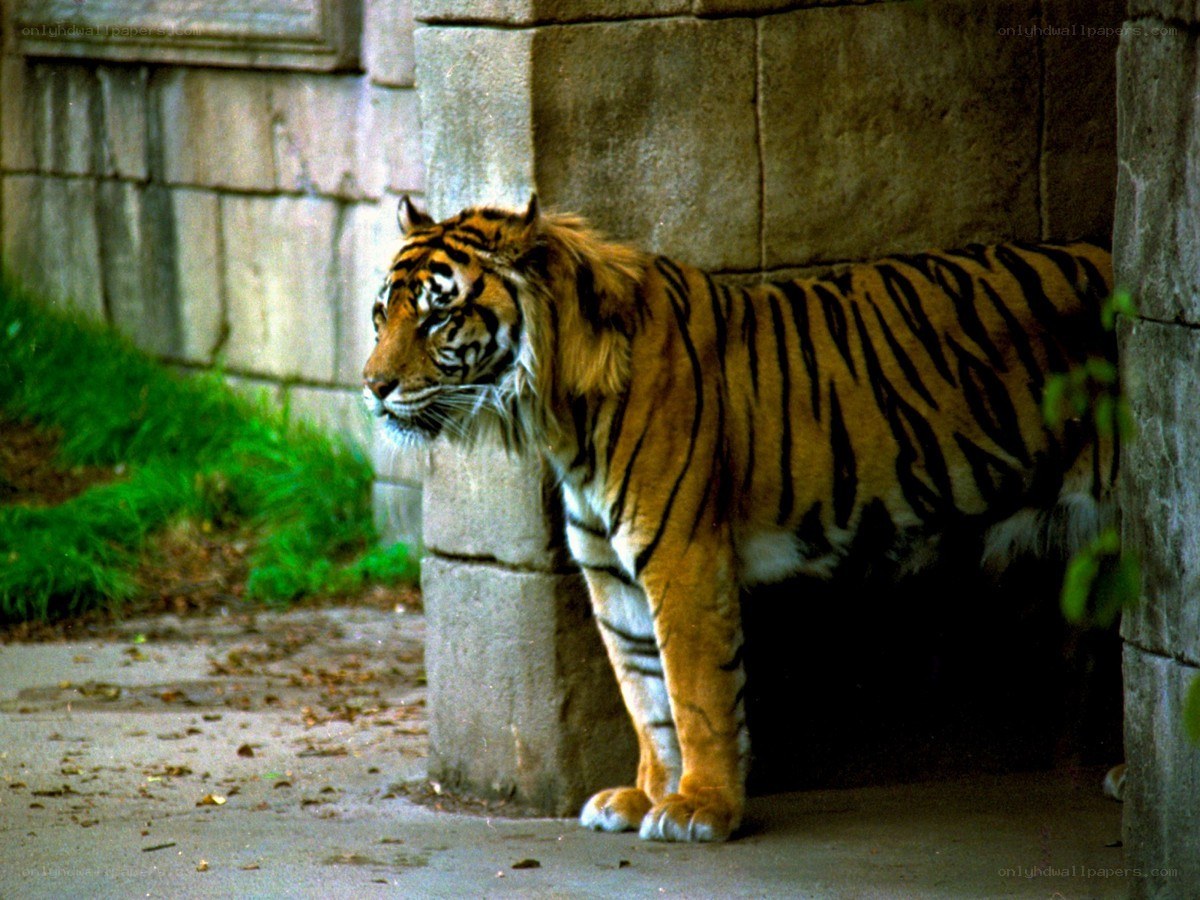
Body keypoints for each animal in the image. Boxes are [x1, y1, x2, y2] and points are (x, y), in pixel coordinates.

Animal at [362, 195, 1116, 843]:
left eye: (436, 318)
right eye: (380, 316)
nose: (372, 387)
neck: (559, 411)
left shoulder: (682, 557)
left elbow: (694, 693)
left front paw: (701, 809)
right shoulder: (612, 573)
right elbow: (645, 695)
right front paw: (646, 796)